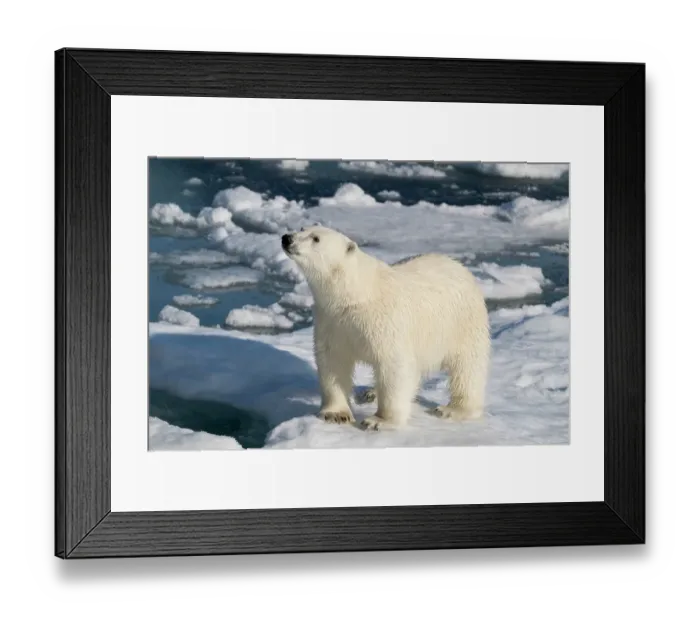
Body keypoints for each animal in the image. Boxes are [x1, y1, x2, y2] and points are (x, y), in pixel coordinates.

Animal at [281, 225, 491, 431]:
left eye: (315, 238)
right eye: (302, 228)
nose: (287, 238)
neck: (355, 295)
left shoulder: (385, 321)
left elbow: (392, 365)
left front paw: (378, 421)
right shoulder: (331, 320)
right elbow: (333, 361)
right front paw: (335, 414)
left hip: (462, 323)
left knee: (467, 366)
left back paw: (454, 409)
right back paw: (371, 393)